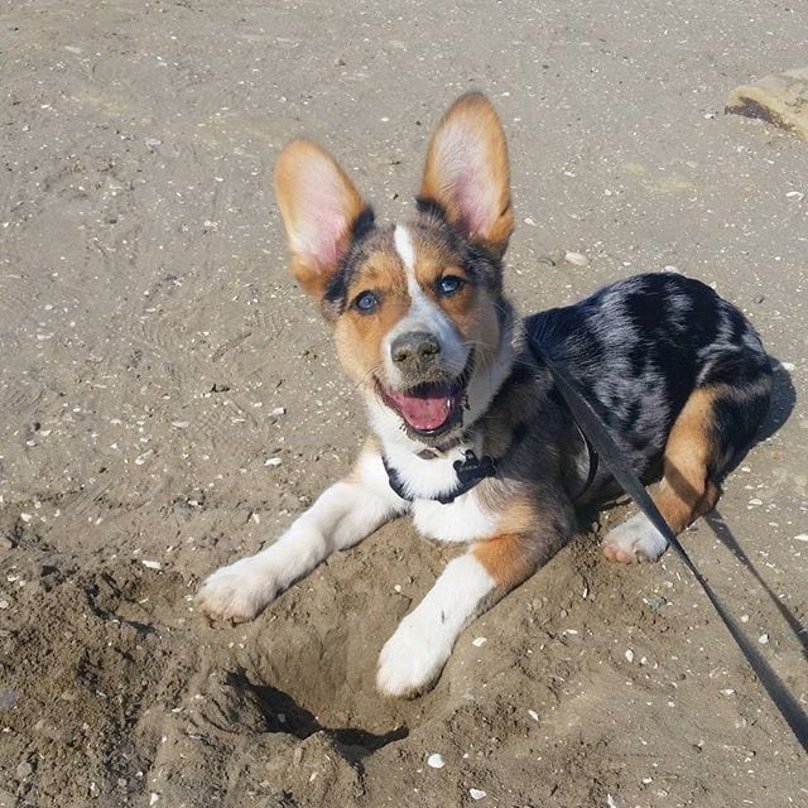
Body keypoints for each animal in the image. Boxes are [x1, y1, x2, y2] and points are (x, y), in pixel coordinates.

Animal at [194, 91, 772, 696]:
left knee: (698, 489)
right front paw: (244, 578)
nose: (415, 350)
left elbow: (460, 572)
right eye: (366, 301)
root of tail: (724, 305)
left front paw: (409, 652)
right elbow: (309, 527)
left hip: (704, 410)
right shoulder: (367, 484)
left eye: (450, 284)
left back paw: (638, 533)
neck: (441, 452)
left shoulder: (543, 523)